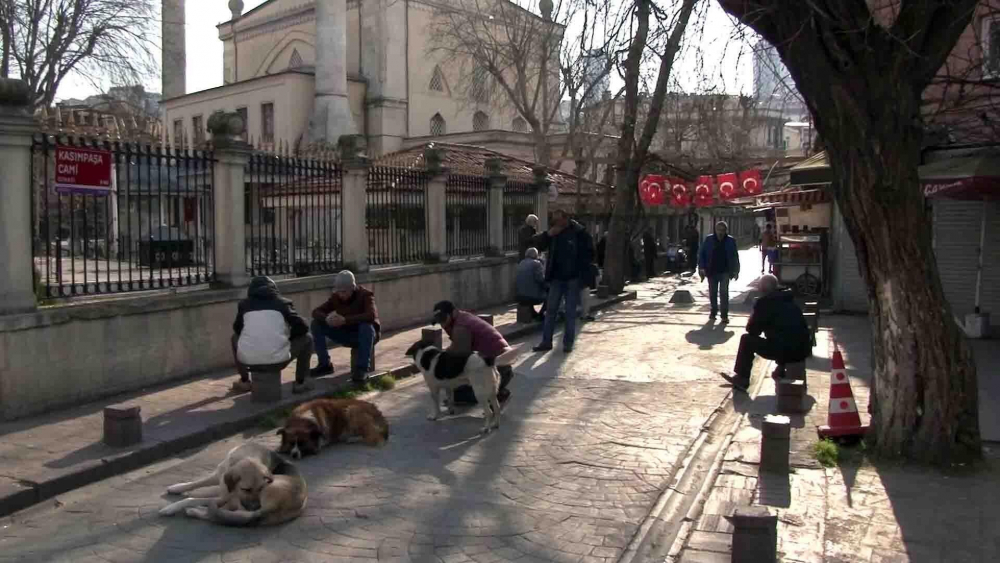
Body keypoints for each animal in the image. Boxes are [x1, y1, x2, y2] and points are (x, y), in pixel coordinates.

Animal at [158, 442, 306, 528]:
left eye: (261, 488)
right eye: (245, 489)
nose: (255, 506)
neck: (245, 456)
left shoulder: (224, 496)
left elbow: (191, 499)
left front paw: (170, 508)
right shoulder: (217, 476)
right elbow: (196, 483)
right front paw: (178, 487)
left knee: (220, 515)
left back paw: (195, 510)